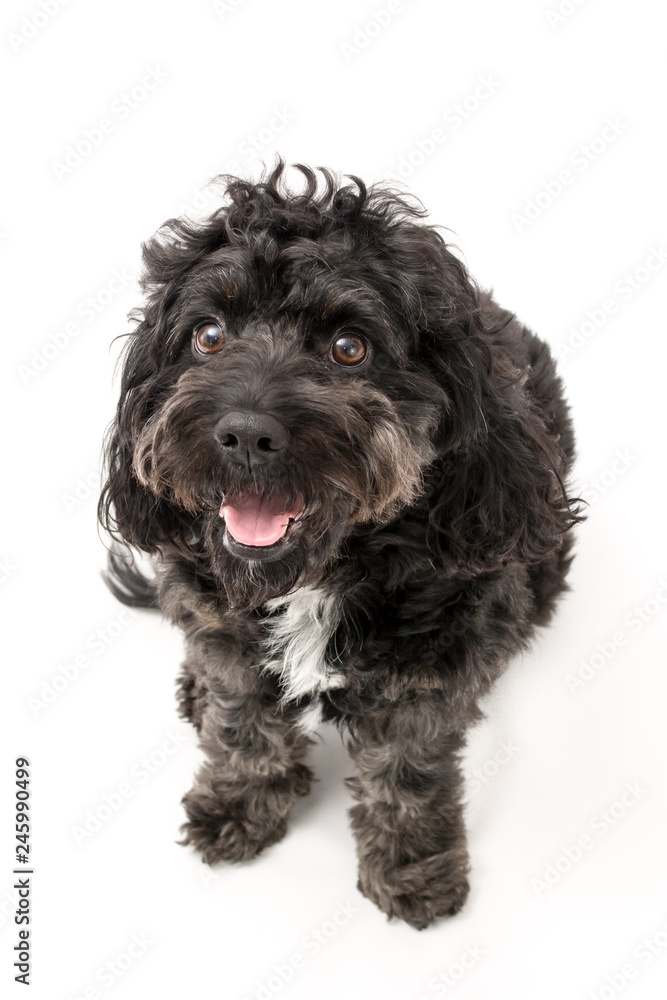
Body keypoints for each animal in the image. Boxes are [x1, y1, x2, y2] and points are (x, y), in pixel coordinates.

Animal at [99, 160, 580, 924]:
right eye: (209, 335)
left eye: (349, 347)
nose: (245, 434)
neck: (317, 576)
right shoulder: (224, 631)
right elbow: (241, 722)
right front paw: (239, 803)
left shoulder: (430, 669)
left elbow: (407, 772)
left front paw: (412, 864)